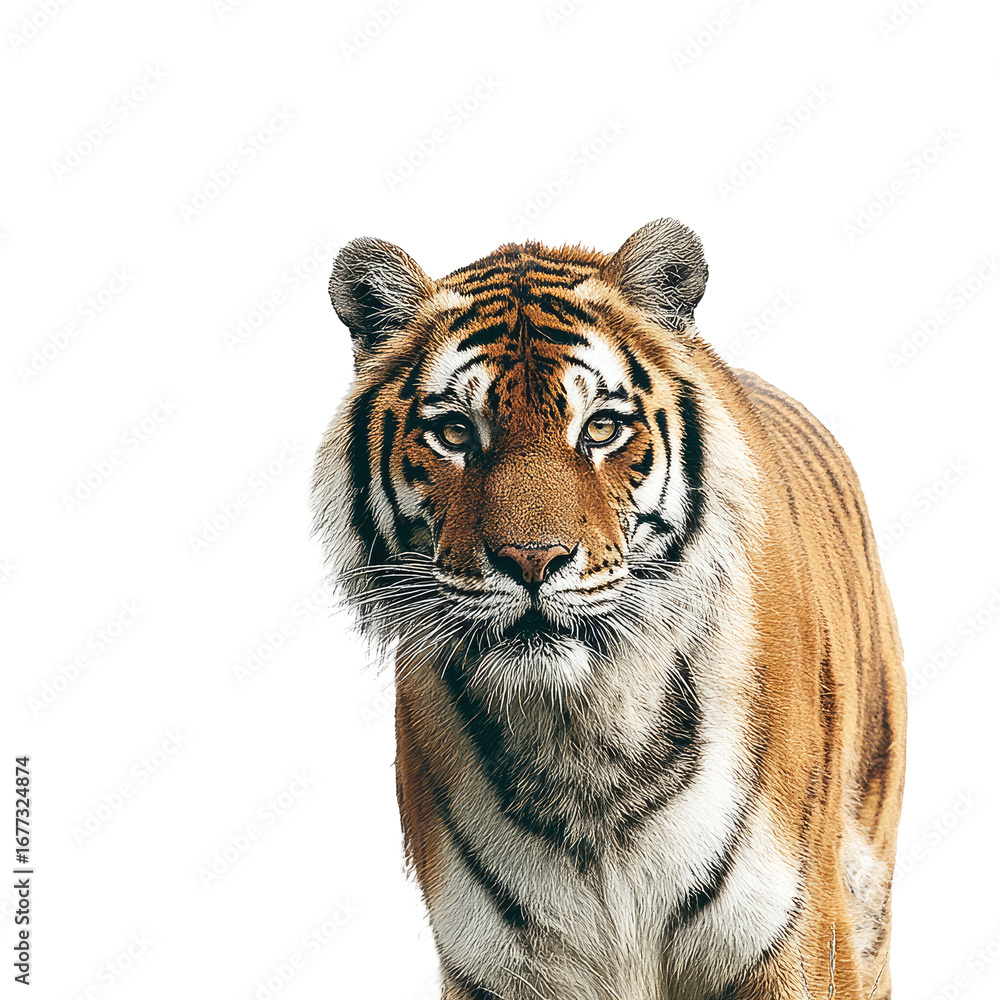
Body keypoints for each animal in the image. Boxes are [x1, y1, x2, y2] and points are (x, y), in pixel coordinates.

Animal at [310, 218, 906, 1000]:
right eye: (457, 433)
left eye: (599, 428)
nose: (532, 559)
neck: (584, 740)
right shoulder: (493, 961)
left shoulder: (796, 935)